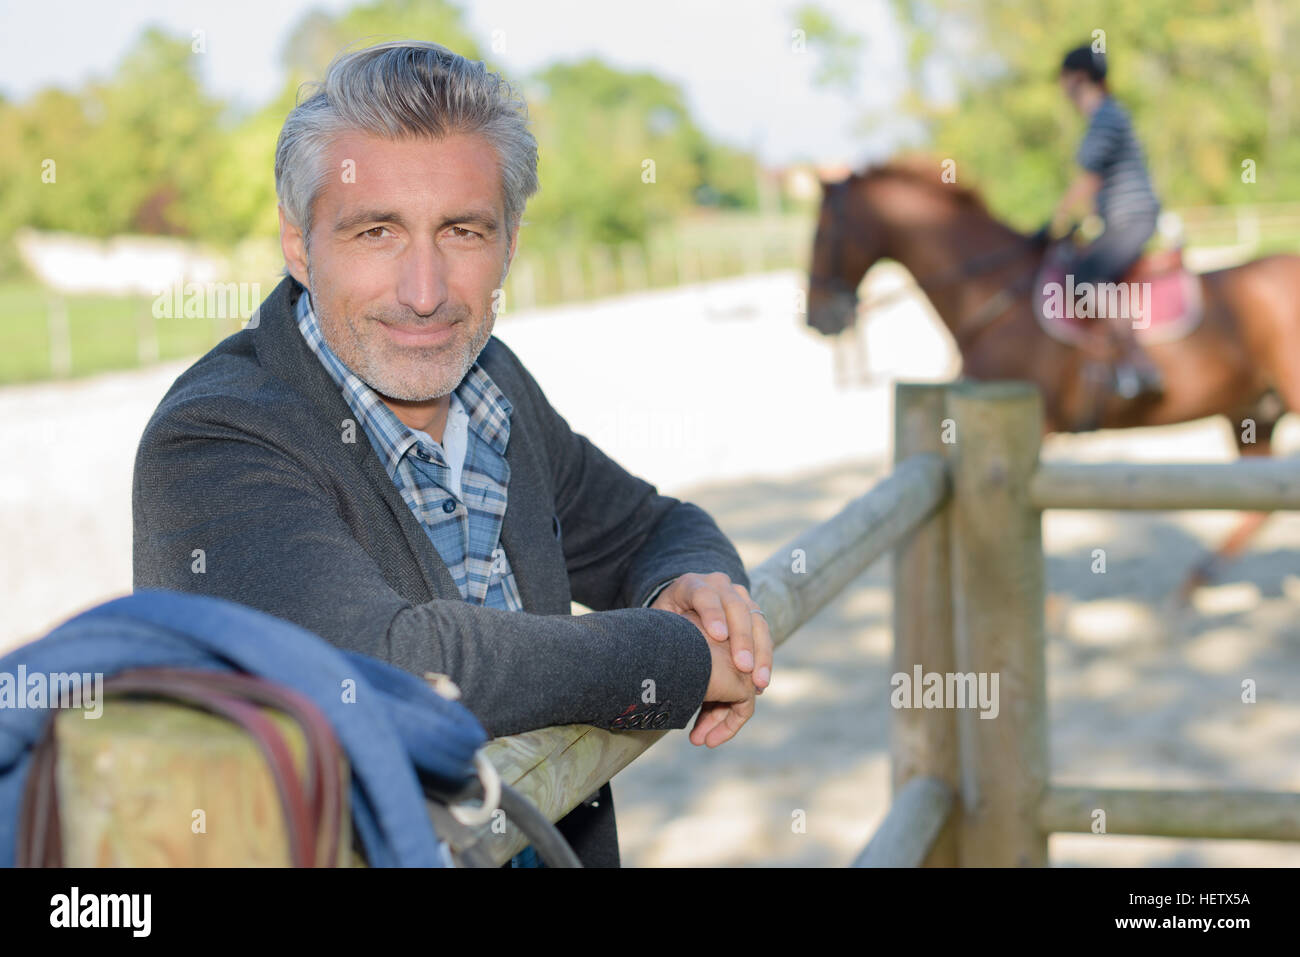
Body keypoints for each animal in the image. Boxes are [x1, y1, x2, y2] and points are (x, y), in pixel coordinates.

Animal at [800, 160, 1300, 595]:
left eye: (822, 232)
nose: (816, 318)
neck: (994, 294)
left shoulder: (1031, 423)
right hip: (1253, 414)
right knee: (1263, 501)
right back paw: (1196, 581)